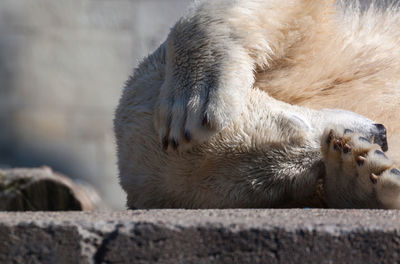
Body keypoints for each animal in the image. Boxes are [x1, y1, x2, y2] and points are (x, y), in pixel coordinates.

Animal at [114, 0, 400, 209]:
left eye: (295, 122)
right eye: (285, 182)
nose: (380, 135)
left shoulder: (319, 62)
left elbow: (297, 16)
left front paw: (189, 105)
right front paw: (356, 171)